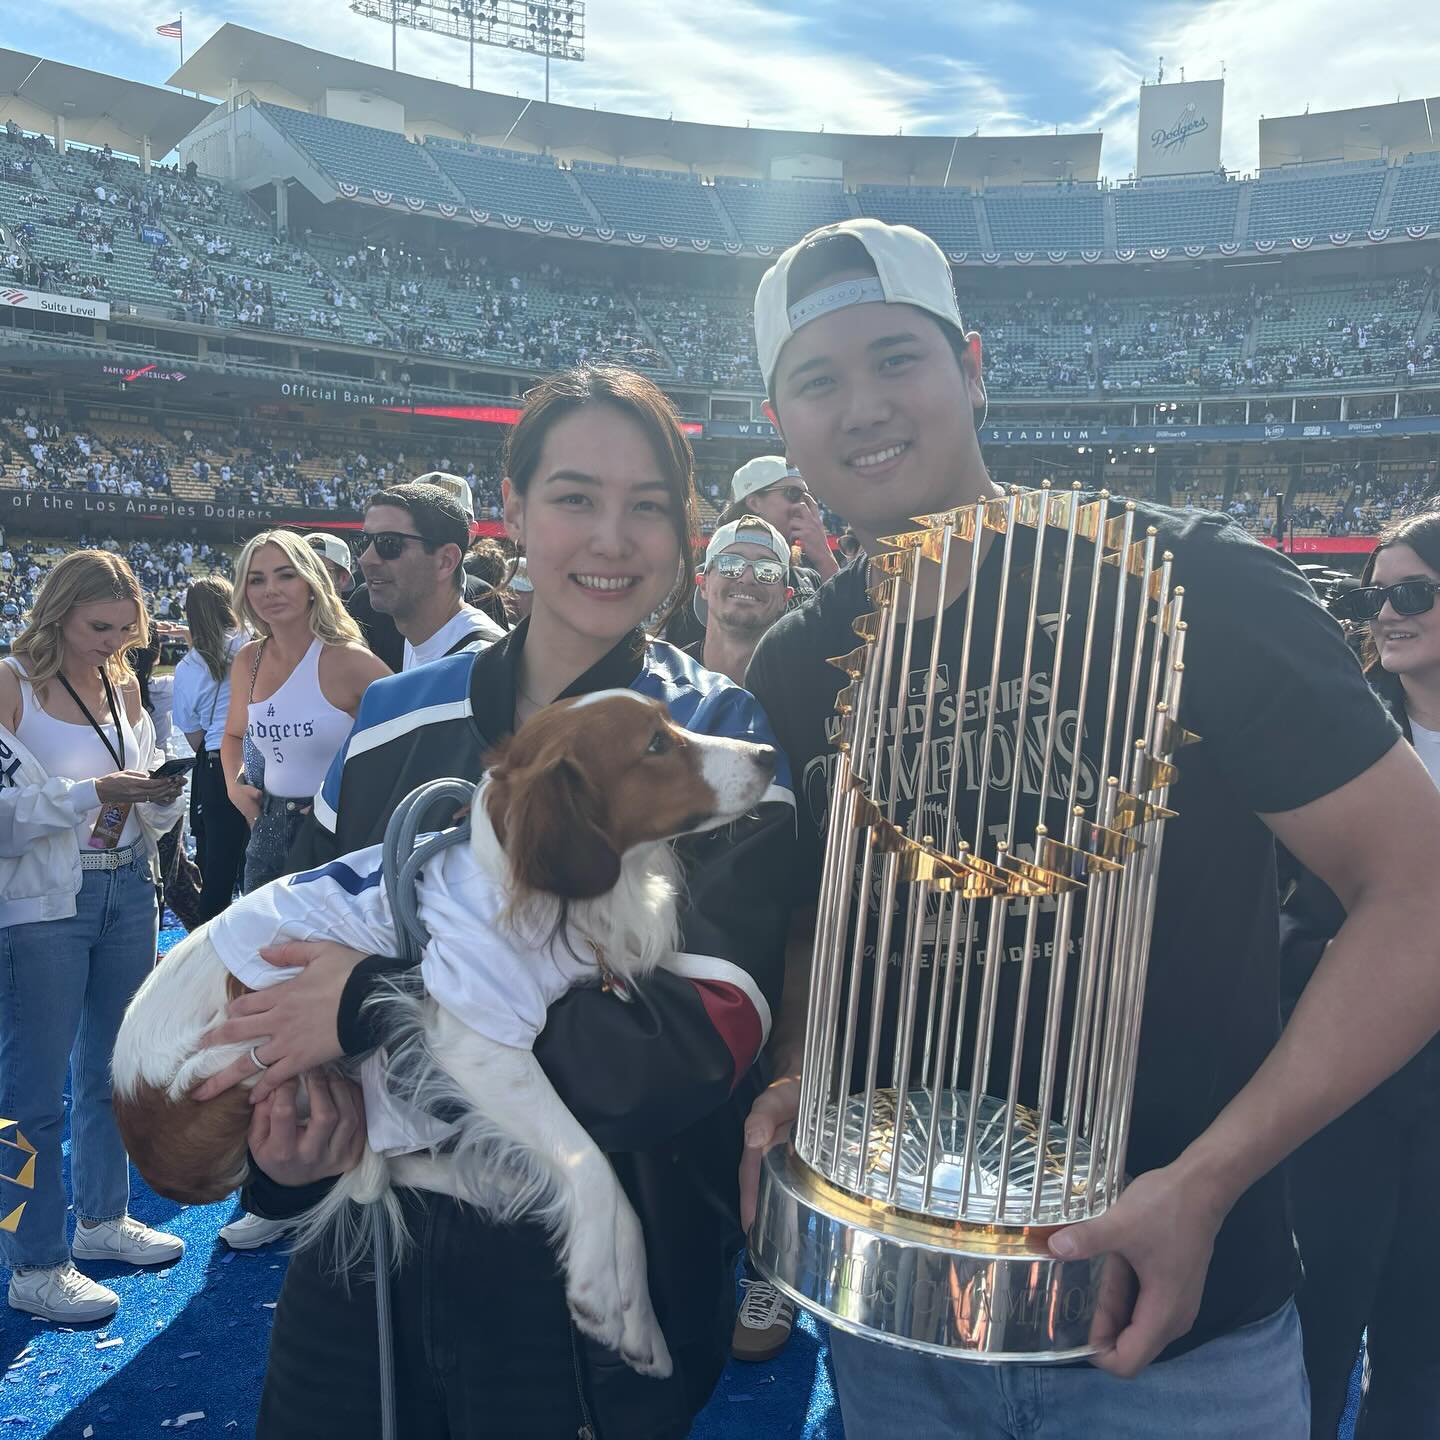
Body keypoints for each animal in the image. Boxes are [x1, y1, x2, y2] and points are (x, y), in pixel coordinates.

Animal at [110, 691, 777, 1376]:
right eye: (655, 745)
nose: (768, 754)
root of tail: (135, 1124)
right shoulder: (473, 1034)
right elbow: (589, 1164)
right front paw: (613, 1297)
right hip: (245, 1065)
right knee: (378, 1163)